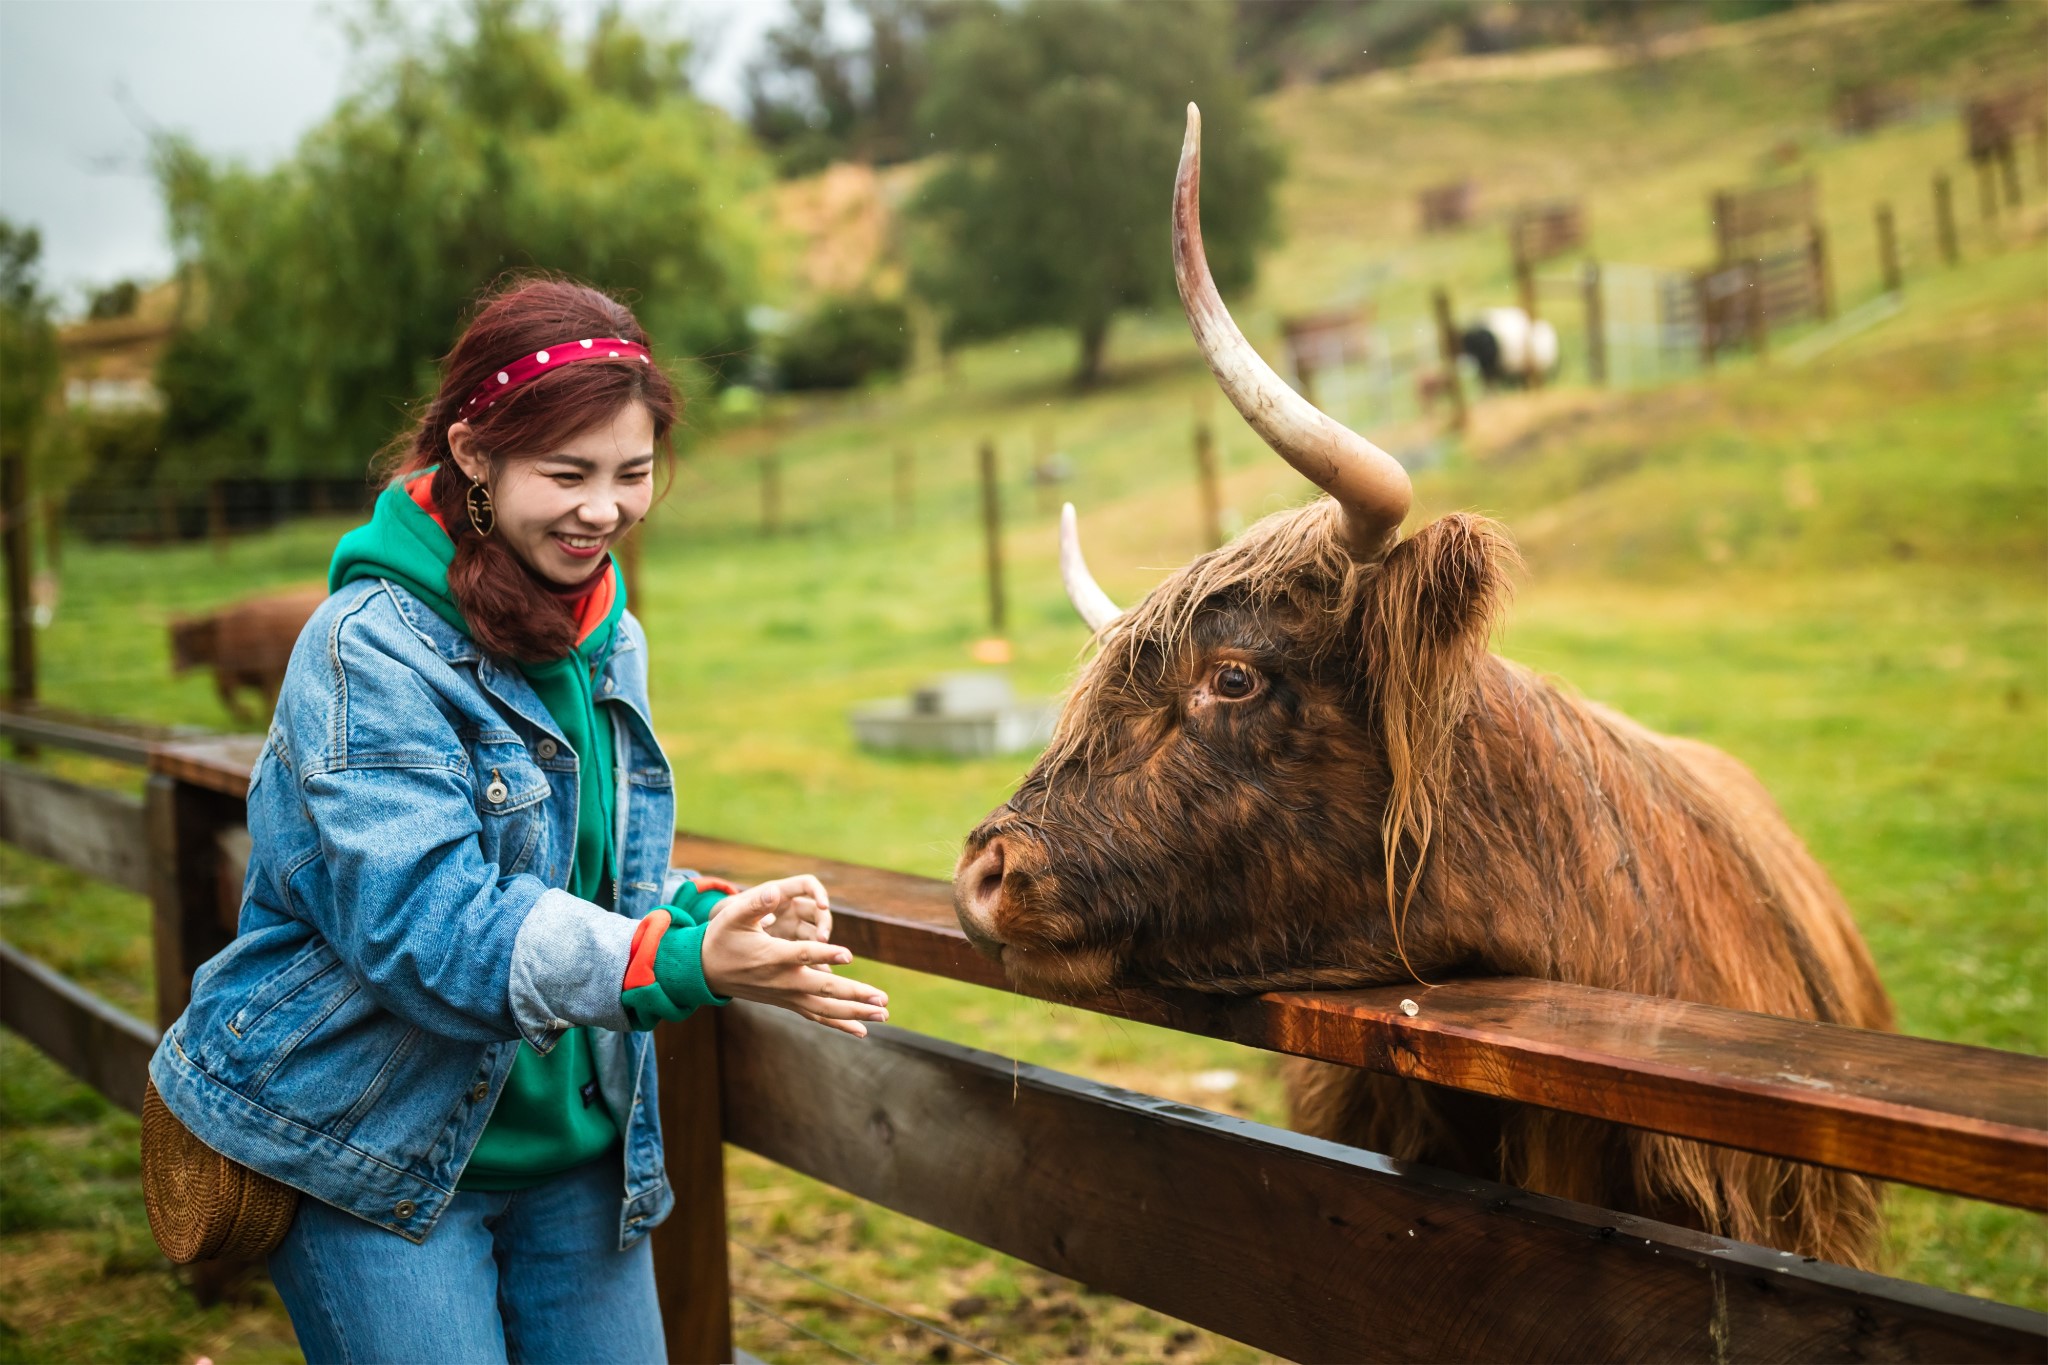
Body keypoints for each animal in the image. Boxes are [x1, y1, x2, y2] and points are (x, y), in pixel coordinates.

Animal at [167, 589, 323, 724]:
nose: (176, 667)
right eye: (171, 642)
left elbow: (265, 698)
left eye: (187, 639)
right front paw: (247, 715)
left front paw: (254, 716)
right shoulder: (229, 674)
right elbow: (225, 695)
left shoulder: (266, 672)